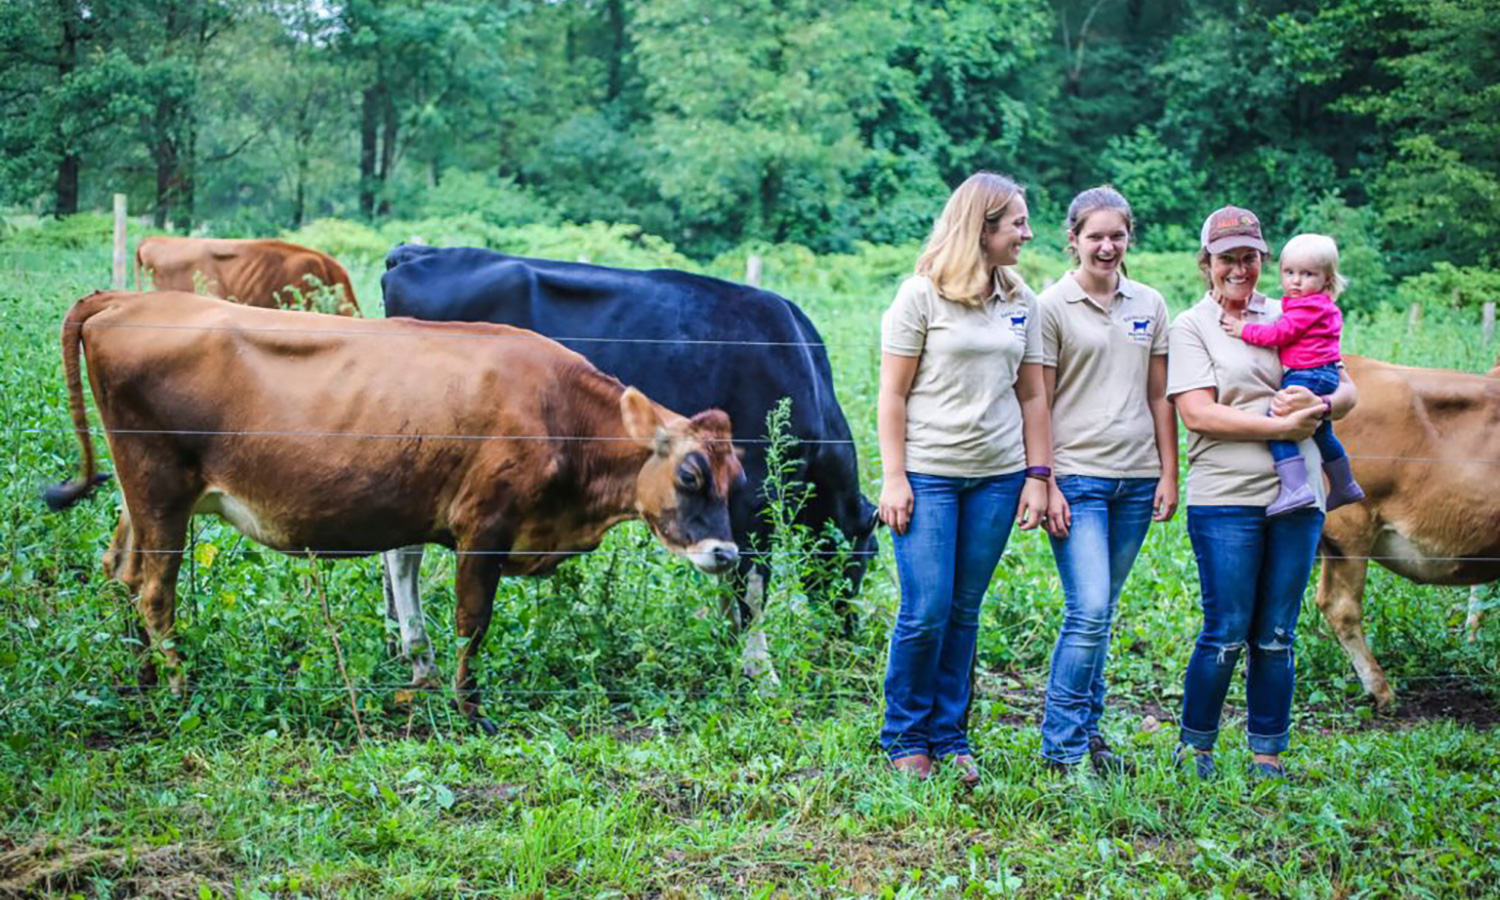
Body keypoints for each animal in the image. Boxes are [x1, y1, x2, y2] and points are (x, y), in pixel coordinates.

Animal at [43, 292, 747, 729]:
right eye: (690, 474)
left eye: (735, 477)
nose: (728, 552)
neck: (559, 414)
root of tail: (125, 299)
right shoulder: (484, 527)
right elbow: (471, 622)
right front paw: (470, 710)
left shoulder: (419, 514)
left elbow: (409, 598)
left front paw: (419, 680)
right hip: (160, 487)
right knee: (155, 591)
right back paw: (180, 691)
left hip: (139, 494)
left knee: (121, 574)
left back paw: (140, 680)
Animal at [378, 243, 876, 687]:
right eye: (866, 558)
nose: (849, 633)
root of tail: (413, 252)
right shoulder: (758, 493)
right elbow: (751, 585)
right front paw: (760, 669)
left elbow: (726, 571)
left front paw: (729, 642)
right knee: (404, 552)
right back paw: (420, 657)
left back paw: (395, 643)